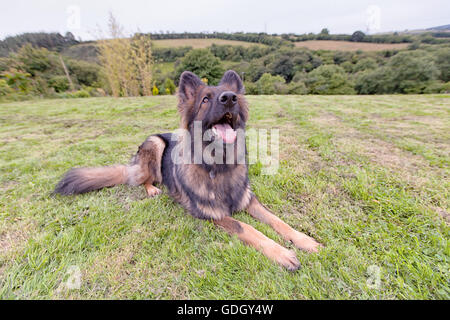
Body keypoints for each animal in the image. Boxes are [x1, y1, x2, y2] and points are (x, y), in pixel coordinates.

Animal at [54, 70, 322, 270]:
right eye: (205, 99)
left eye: (233, 96)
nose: (229, 98)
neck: (218, 165)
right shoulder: (213, 214)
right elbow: (247, 227)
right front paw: (282, 253)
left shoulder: (249, 200)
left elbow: (278, 220)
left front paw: (304, 240)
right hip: (155, 143)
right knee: (142, 179)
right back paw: (152, 189)